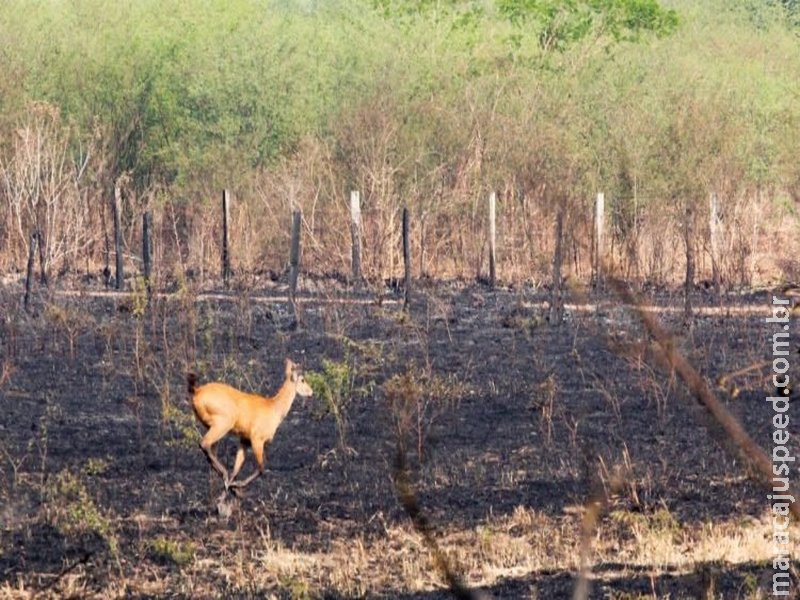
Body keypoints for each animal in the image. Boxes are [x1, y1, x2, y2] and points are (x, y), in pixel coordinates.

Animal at [188, 358, 312, 494]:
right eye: (302, 379)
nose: (311, 392)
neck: (274, 408)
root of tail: (197, 391)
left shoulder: (244, 439)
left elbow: (237, 467)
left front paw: (232, 487)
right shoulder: (257, 439)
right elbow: (261, 468)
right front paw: (237, 485)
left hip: (211, 425)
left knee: (210, 451)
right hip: (223, 424)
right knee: (204, 443)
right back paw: (225, 474)